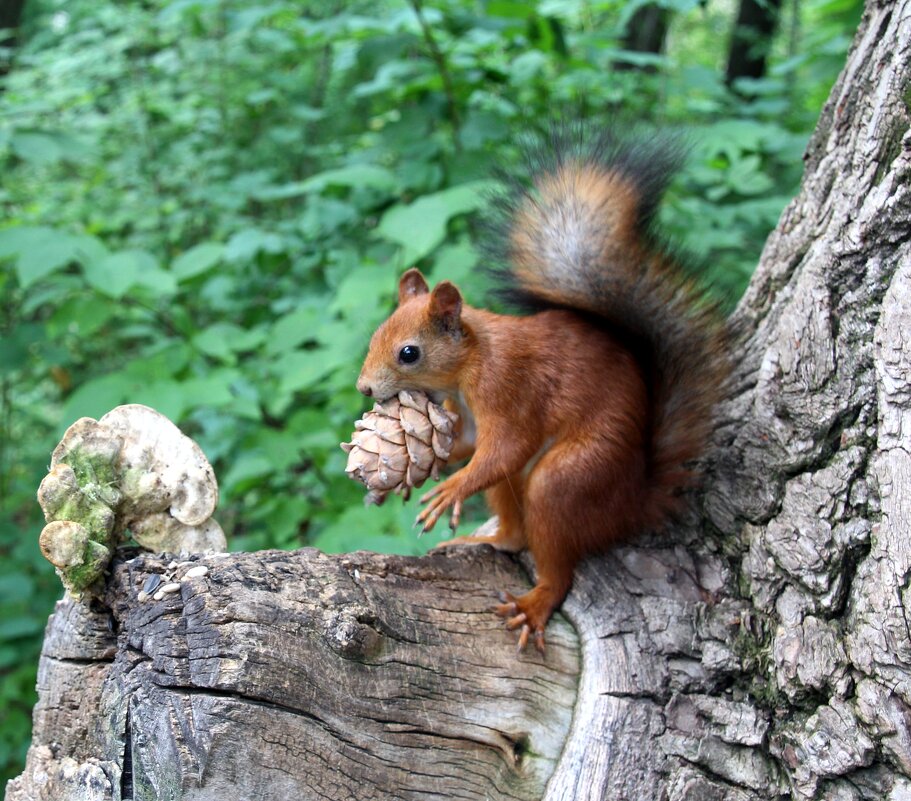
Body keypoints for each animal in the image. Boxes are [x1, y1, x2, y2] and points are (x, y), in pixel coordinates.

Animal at [356, 134, 728, 652]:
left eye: (409, 353)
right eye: (374, 335)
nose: (364, 387)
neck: (470, 364)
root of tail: (632, 504)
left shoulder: (508, 388)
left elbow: (507, 446)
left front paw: (451, 487)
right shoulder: (466, 415)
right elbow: (474, 446)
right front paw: (430, 468)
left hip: (570, 478)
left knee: (554, 551)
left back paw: (536, 602)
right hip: (524, 489)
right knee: (516, 528)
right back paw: (485, 541)